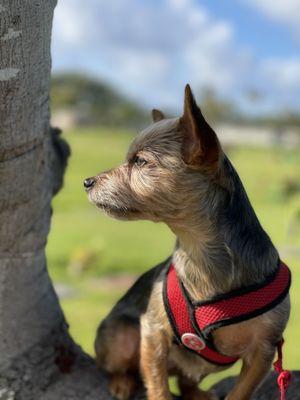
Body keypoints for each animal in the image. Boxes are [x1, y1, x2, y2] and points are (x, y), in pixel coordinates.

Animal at [84, 85, 290, 400]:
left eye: (140, 161)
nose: (87, 182)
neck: (199, 252)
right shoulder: (153, 332)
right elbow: (157, 386)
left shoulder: (263, 351)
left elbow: (239, 393)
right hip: (123, 335)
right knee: (124, 367)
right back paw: (122, 383)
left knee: (186, 380)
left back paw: (198, 393)